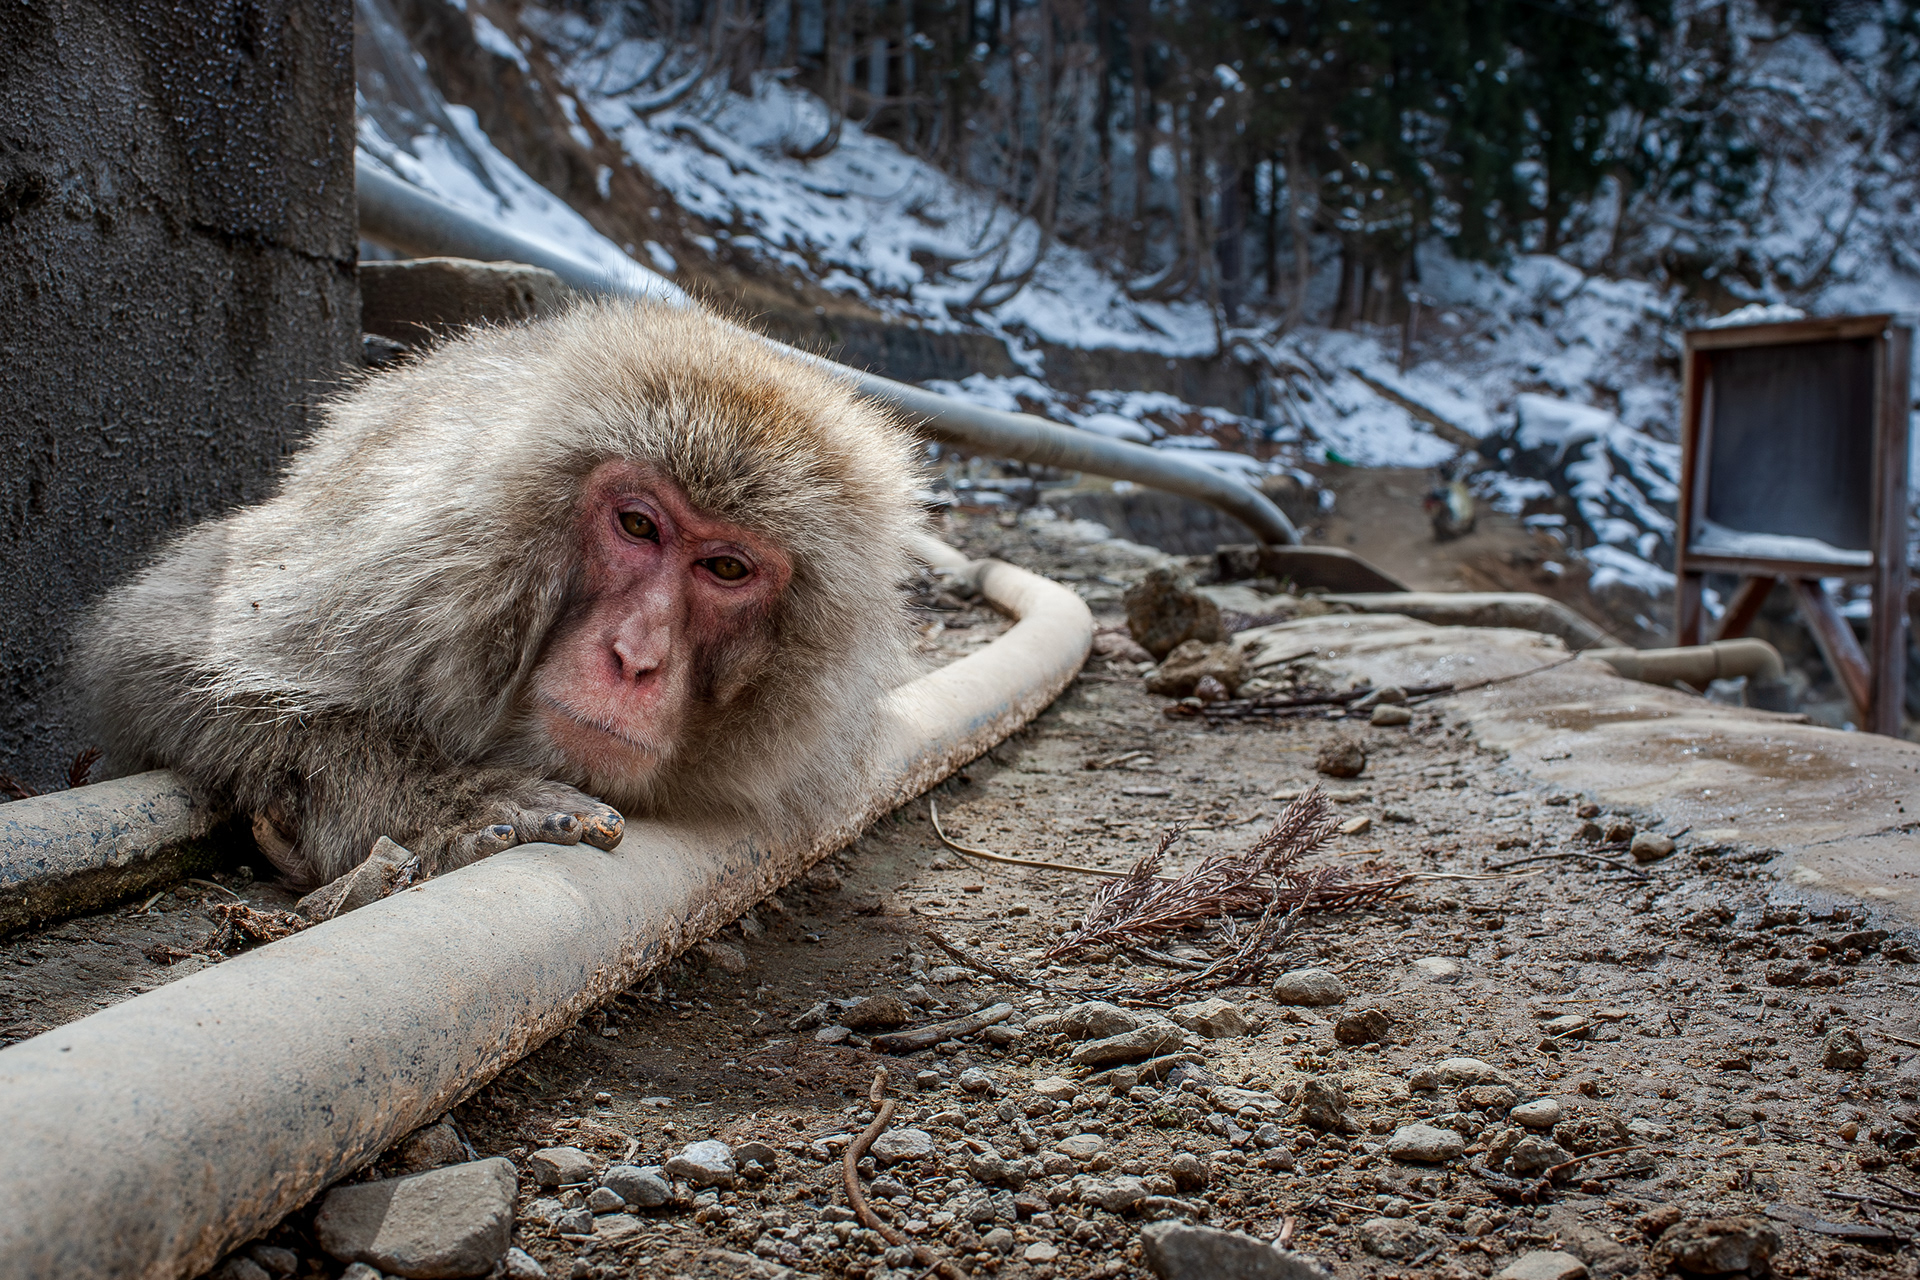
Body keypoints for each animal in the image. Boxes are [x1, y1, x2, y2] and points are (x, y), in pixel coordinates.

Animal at [77, 299, 925, 890]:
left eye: (725, 570)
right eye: (638, 524)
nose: (635, 656)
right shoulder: (425, 574)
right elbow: (165, 654)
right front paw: (460, 799)